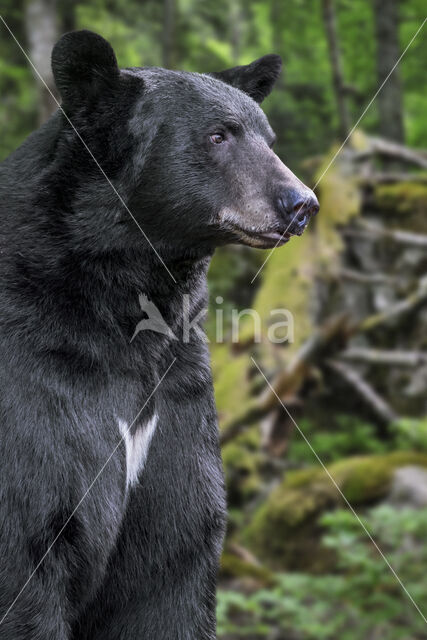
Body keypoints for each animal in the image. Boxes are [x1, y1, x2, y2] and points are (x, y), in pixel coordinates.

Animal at [0, 27, 318, 636]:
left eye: (268, 139)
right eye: (218, 134)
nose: (301, 203)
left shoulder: (175, 396)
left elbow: (171, 564)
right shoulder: (35, 402)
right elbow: (29, 550)